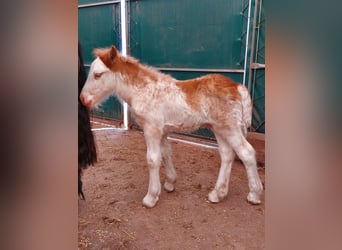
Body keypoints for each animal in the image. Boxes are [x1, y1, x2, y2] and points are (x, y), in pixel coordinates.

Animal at [80, 46, 262, 208]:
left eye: (97, 75)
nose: (83, 100)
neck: (144, 91)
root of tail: (237, 86)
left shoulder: (151, 129)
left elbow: (153, 159)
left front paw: (151, 197)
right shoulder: (162, 131)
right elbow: (166, 153)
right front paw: (170, 183)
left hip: (229, 128)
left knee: (247, 153)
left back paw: (254, 194)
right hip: (219, 129)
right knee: (227, 155)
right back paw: (217, 194)